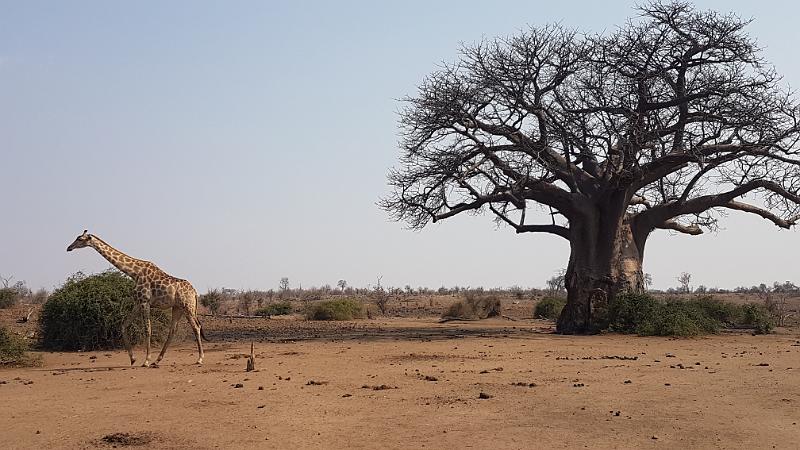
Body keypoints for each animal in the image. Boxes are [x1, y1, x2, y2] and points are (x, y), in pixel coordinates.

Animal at [66, 232, 206, 366]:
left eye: (80, 239)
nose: (69, 248)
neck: (134, 272)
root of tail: (194, 292)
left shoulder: (145, 301)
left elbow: (147, 329)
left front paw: (146, 360)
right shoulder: (138, 303)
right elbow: (124, 325)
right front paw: (133, 359)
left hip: (187, 307)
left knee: (196, 327)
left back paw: (199, 359)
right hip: (177, 308)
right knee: (173, 330)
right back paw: (158, 360)